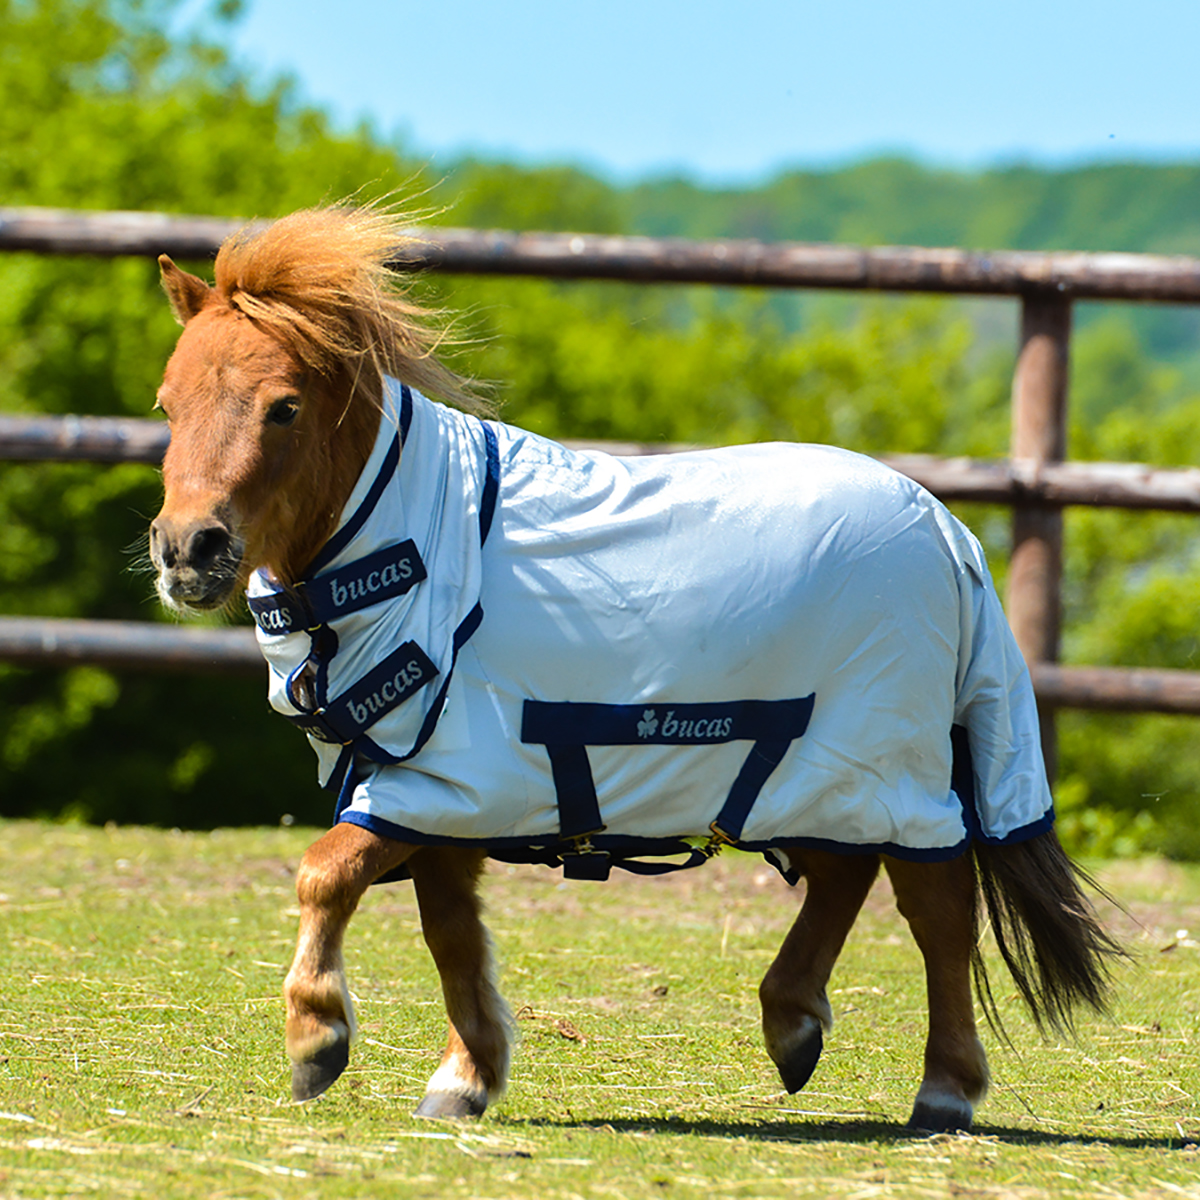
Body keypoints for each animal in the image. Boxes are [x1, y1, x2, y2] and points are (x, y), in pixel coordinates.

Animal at [148, 205, 1121, 1132]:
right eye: (165, 405)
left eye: (283, 407)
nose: (188, 548)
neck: (424, 552)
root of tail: (948, 532)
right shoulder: (436, 803)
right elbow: (450, 935)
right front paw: (467, 1077)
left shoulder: (446, 786)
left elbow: (326, 875)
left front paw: (317, 1035)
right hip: (816, 772)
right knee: (848, 876)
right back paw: (792, 1021)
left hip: (889, 767)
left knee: (936, 906)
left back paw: (945, 1087)